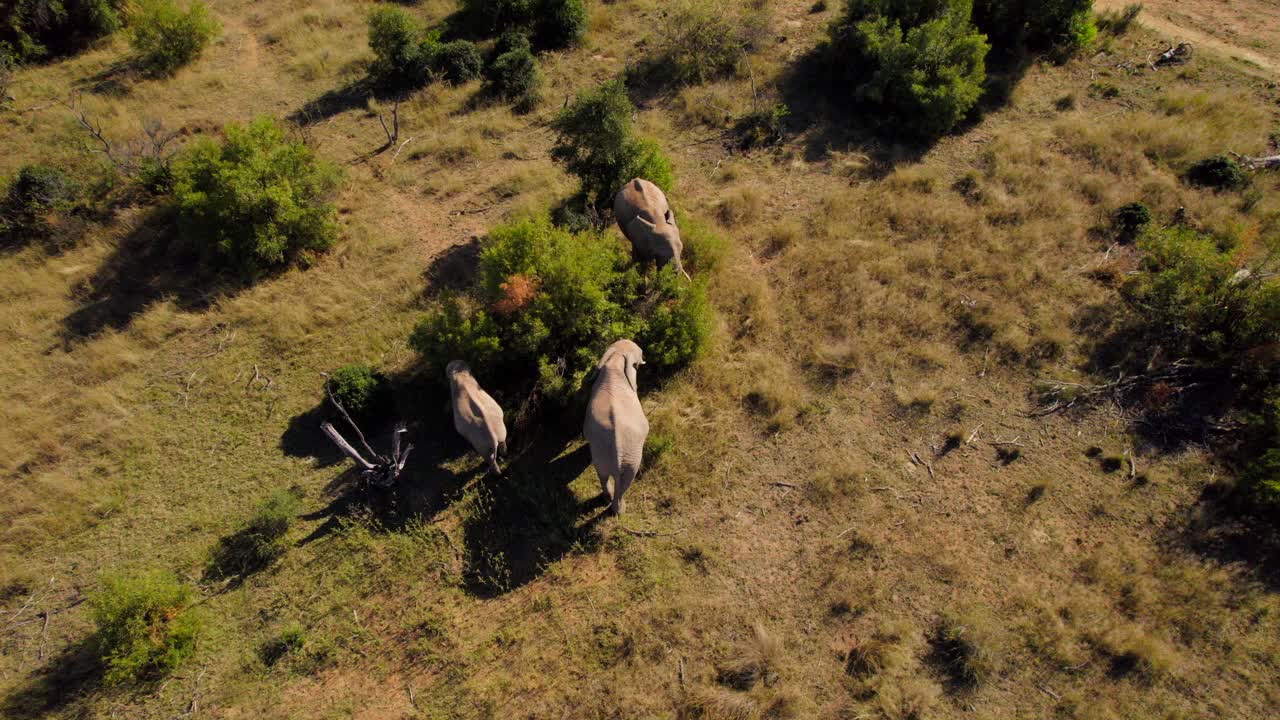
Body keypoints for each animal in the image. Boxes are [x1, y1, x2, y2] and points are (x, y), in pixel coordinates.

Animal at [584, 339, 650, 515]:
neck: (616, 357)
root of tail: (617, 450)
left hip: (601, 453)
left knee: (602, 474)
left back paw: (608, 499)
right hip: (632, 456)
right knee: (625, 481)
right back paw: (619, 510)